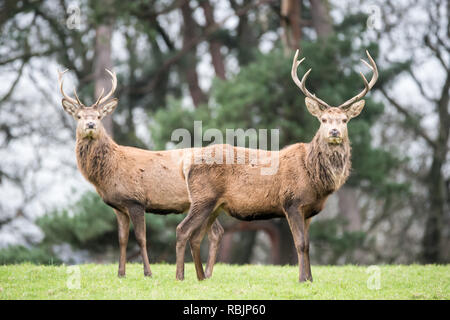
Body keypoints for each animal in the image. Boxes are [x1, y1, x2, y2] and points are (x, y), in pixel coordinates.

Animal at [57, 69, 223, 278]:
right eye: (78, 116)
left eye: (99, 116)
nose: (90, 125)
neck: (109, 171)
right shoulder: (119, 207)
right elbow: (122, 239)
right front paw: (120, 273)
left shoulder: (135, 200)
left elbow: (141, 238)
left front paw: (148, 272)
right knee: (217, 231)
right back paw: (207, 273)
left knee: (216, 232)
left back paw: (206, 273)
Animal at [175, 48, 376, 282]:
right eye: (323, 120)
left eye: (344, 120)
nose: (334, 132)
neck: (315, 177)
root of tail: (187, 166)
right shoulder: (291, 202)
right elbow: (300, 244)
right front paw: (302, 279)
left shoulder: (309, 210)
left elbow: (308, 245)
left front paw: (310, 279)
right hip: (203, 198)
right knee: (182, 230)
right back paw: (180, 277)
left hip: (214, 205)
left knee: (196, 236)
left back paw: (201, 278)